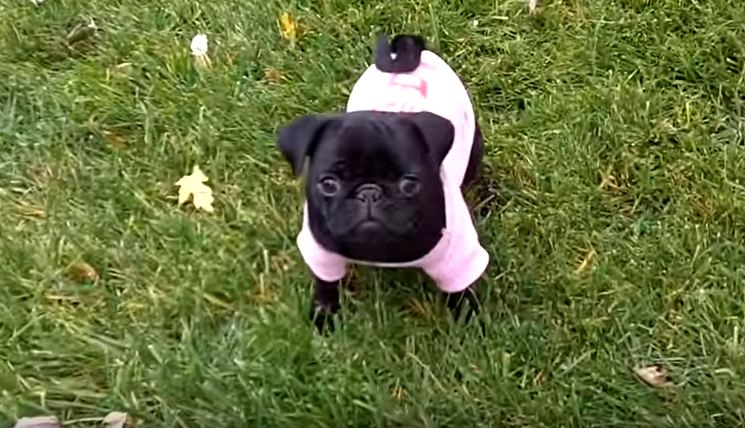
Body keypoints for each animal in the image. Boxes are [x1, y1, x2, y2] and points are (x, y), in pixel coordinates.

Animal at [278, 36, 488, 332]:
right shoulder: (320, 252)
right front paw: (324, 316)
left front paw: (469, 320)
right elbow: (325, 284)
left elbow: (461, 290)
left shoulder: (459, 257)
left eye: (410, 184)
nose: (369, 192)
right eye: (328, 184)